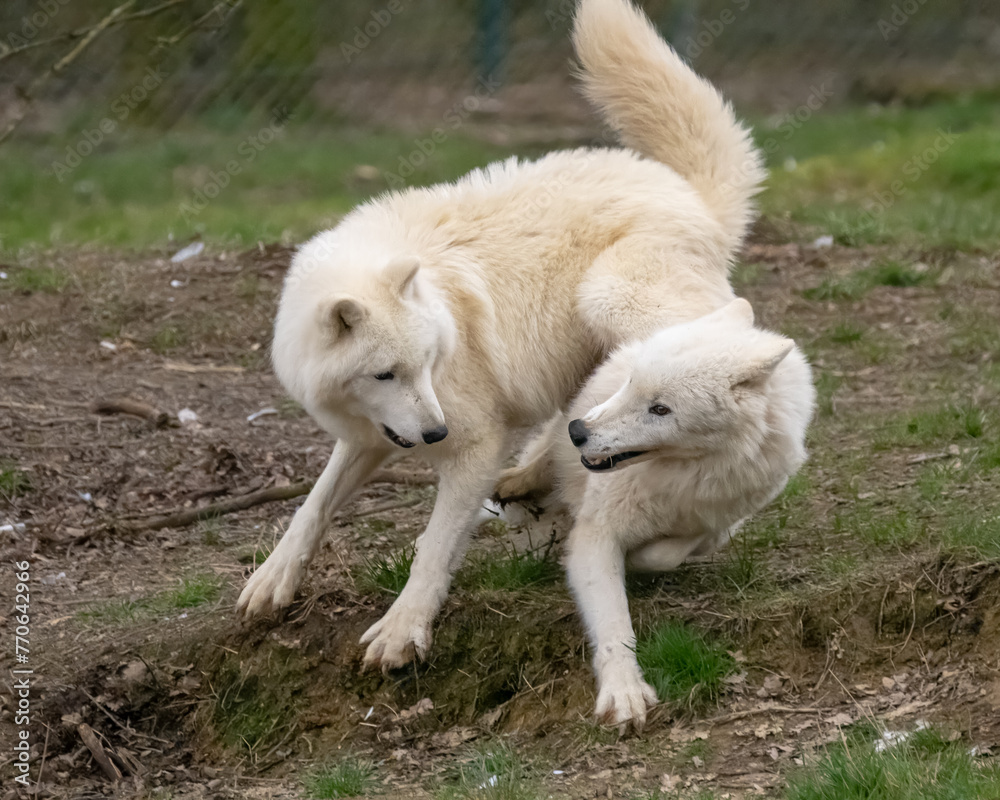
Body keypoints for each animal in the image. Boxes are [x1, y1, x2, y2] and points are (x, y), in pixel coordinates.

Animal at [236, 0, 766, 674]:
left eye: (428, 364)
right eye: (385, 374)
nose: (435, 434)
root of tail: (686, 193)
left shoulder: (474, 443)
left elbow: (434, 546)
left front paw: (402, 631)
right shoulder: (371, 434)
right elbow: (314, 504)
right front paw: (271, 582)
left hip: (610, 299)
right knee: (582, 413)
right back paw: (531, 476)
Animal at [494, 299, 815, 728]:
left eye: (660, 409)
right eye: (632, 382)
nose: (579, 433)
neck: (683, 475)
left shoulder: (718, 523)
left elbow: (669, 553)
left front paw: (638, 558)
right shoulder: (597, 533)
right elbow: (613, 621)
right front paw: (623, 692)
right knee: (546, 453)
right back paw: (518, 484)